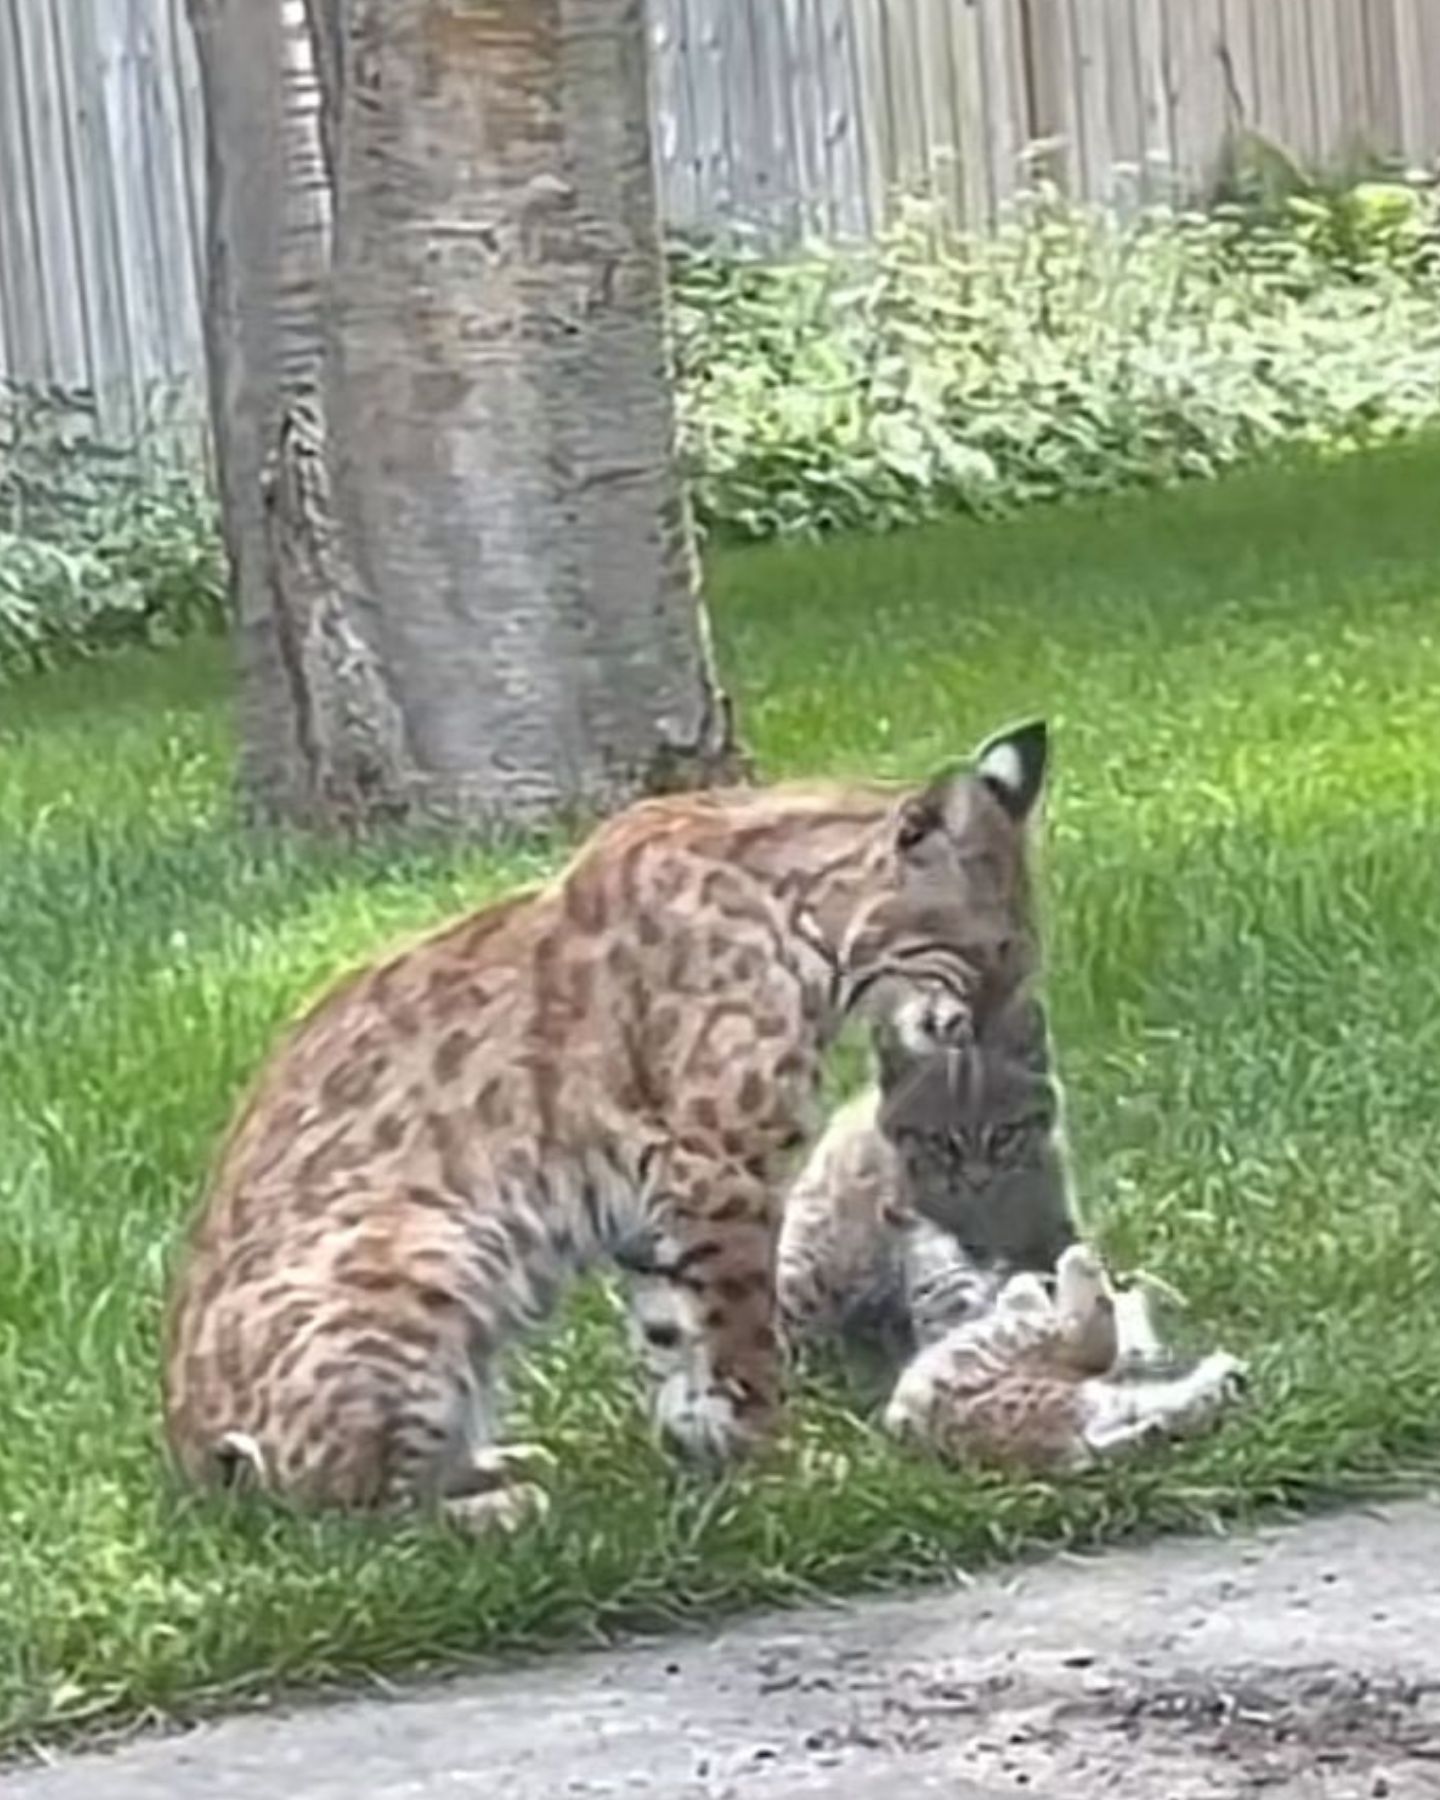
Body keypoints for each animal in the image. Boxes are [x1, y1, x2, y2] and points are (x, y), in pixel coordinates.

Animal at [165, 716, 1044, 1533]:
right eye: (994, 950)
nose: (993, 1035)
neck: (807, 922)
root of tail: (184, 1456)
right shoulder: (720, 1164)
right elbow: (743, 1335)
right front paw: (782, 1466)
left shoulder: (662, 1195)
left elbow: (673, 1329)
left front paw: (707, 1448)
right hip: (433, 1245)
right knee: (348, 1519)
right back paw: (493, 1508)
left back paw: (492, 1462)